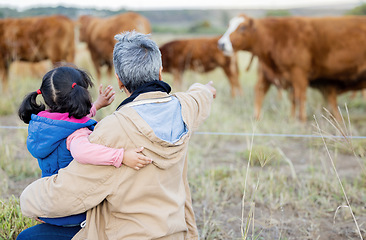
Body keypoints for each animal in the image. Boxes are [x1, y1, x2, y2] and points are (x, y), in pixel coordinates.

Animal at [219, 14, 366, 121]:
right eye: (228, 25)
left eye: (242, 27)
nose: (221, 43)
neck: (276, 37)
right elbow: (292, 98)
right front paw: (292, 119)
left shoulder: (298, 74)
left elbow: (299, 97)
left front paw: (301, 121)